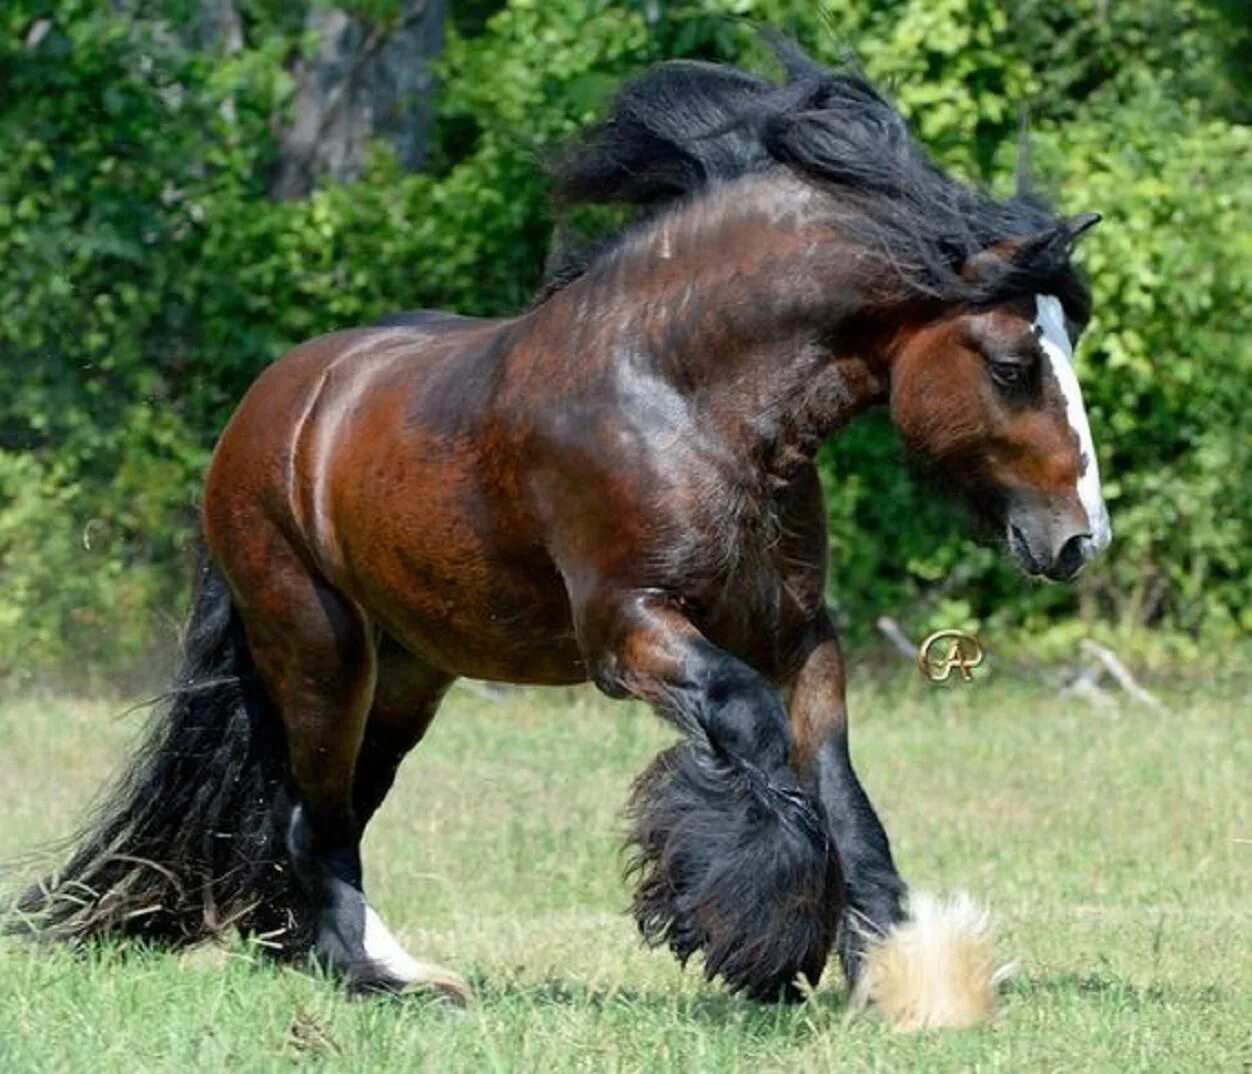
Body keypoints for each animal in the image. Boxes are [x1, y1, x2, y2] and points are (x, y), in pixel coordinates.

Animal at [7, 39, 1106, 1031]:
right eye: (1013, 363)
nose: (1077, 540)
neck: (682, 394)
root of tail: (263, 418)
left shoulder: (798, 631)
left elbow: (837, 785)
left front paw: (903, 975)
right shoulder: (629, 631)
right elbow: (750, 728)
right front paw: (760, 943)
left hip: (406, 675)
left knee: (341, 806)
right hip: (319, 652)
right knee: (309, 814)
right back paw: (386, 981)